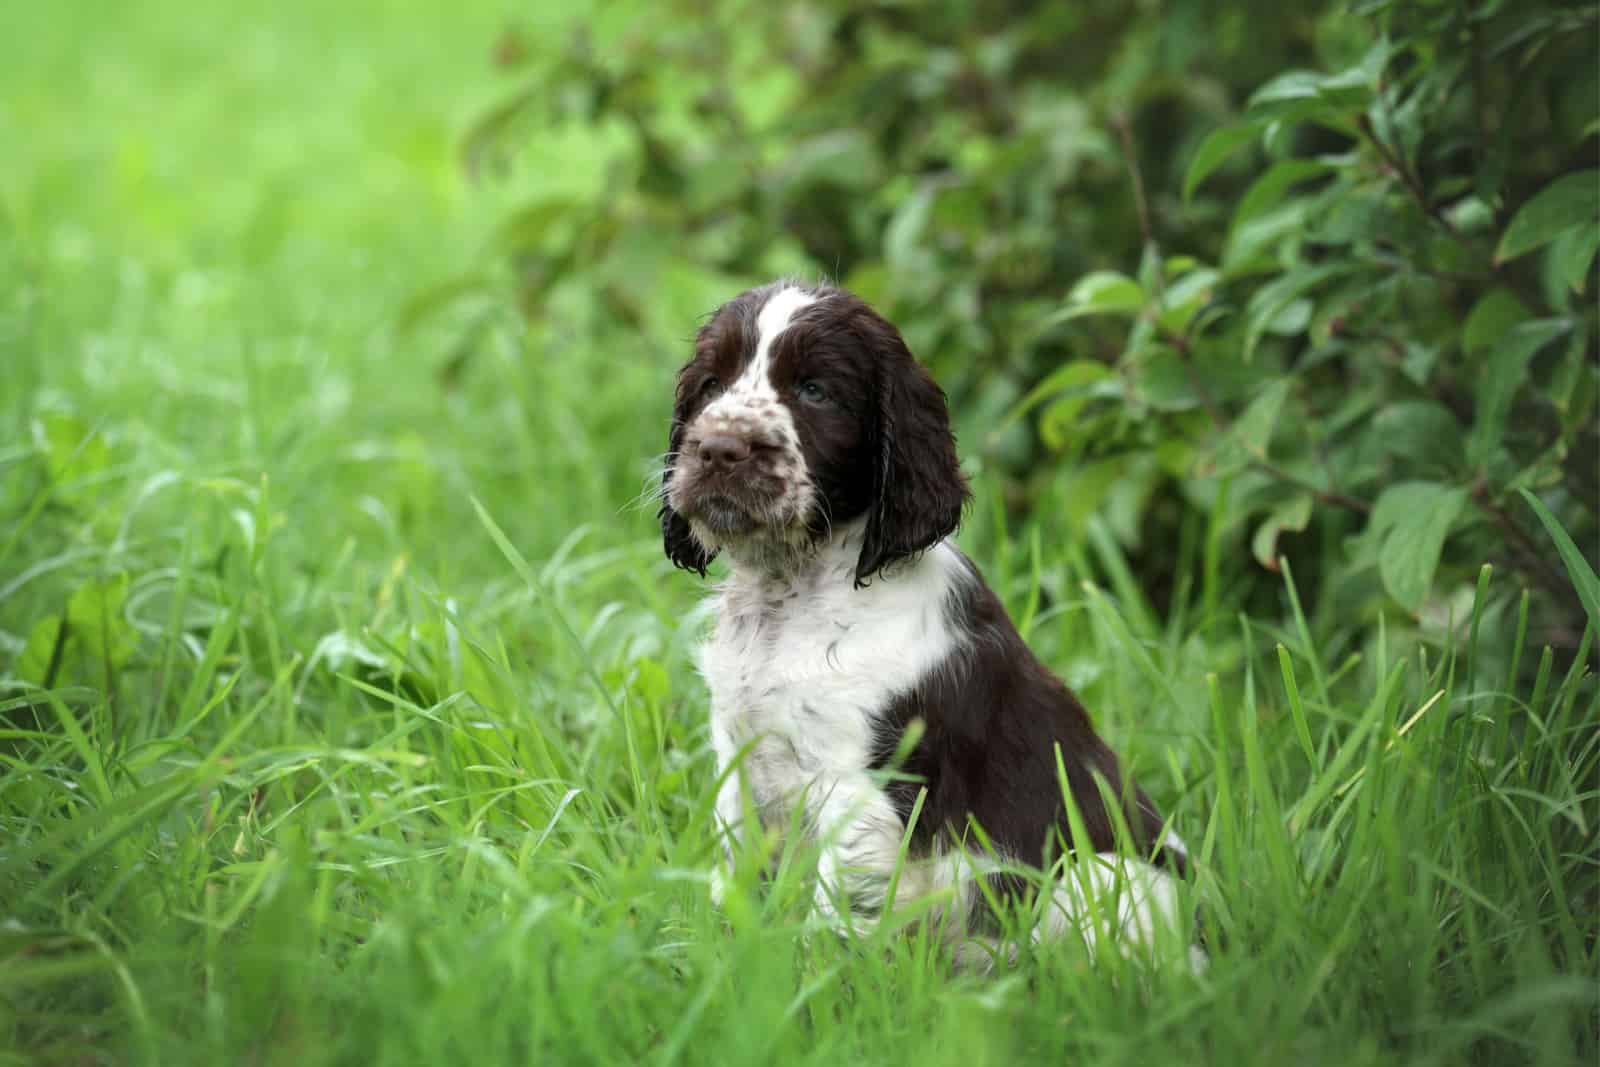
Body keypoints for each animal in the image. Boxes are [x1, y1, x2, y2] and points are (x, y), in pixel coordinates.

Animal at [662, 279, 1203, 966]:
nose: (720, 448)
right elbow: (737, 874)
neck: (796, 593)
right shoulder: (740, 757)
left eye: (815, 391)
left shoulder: (859, 787)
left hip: (1100, 872)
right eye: (712, 384)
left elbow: (838, 916)